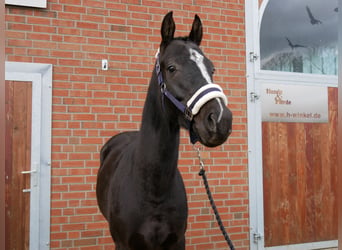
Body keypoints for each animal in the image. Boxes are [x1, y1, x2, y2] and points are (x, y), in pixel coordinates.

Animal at [96, 12, 232, 250]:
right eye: (171, 68)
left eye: (212, 68)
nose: (220, 119)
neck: (152, 189)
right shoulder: (123, 243)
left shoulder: (177, 241)